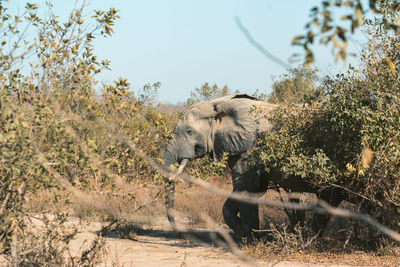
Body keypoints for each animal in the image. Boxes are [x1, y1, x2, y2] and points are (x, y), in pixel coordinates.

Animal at [162, 94, 346, 243]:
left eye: (189, 131)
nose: (182, 235)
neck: (220, 104)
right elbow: (250, 191)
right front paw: (244, 233)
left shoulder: (249, 149)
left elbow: (246, 191)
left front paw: (251, 240)